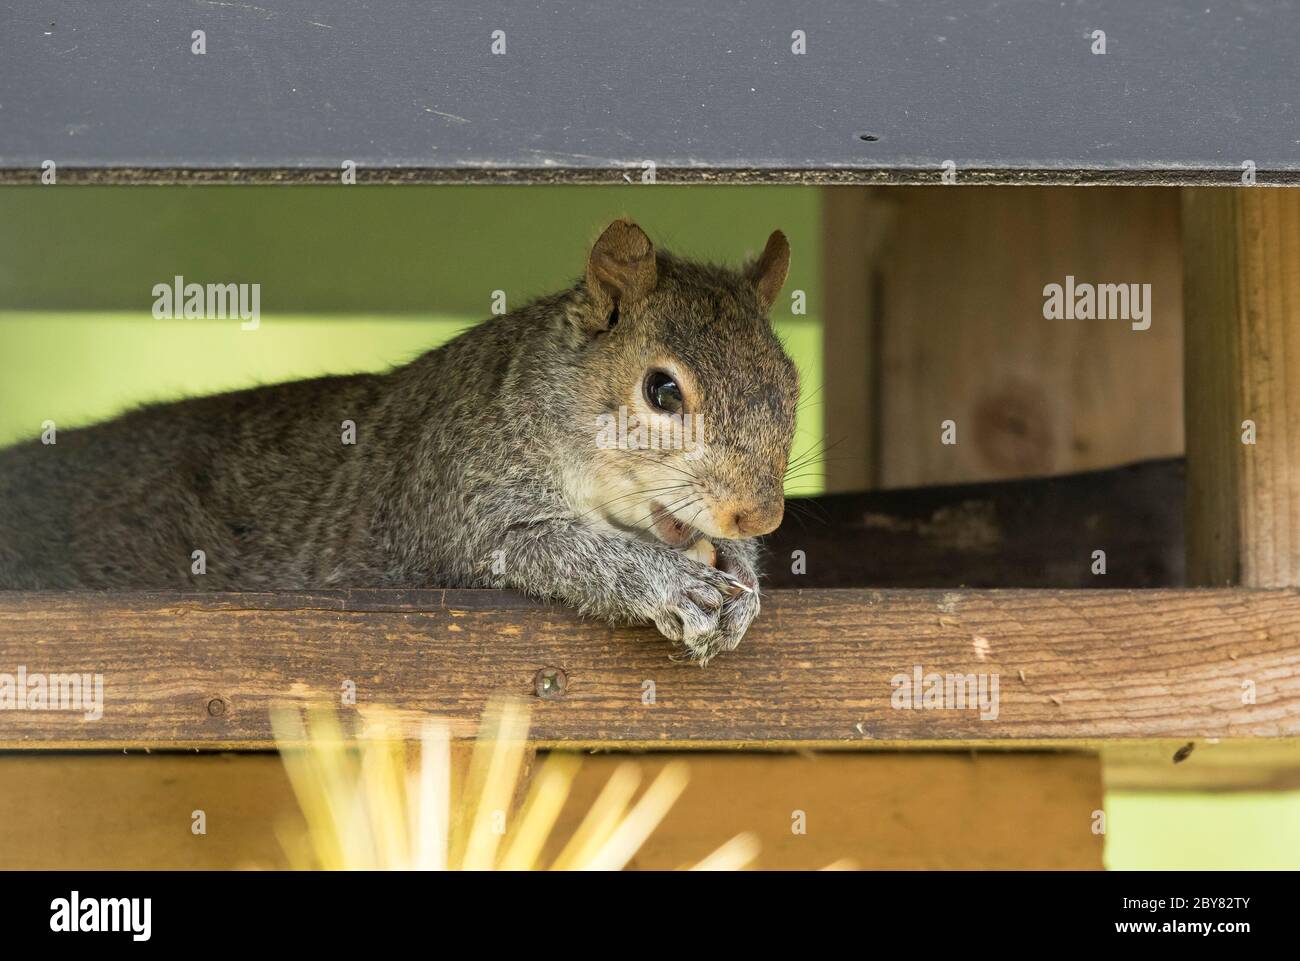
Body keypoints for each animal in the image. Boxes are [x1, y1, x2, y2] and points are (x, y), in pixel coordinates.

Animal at [0, 223, 795, 660]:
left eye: (790, 382)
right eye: (661, 391)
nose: (760, 515)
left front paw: (745, 575)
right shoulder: (456, 509)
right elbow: (553, 550)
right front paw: (673, 581)